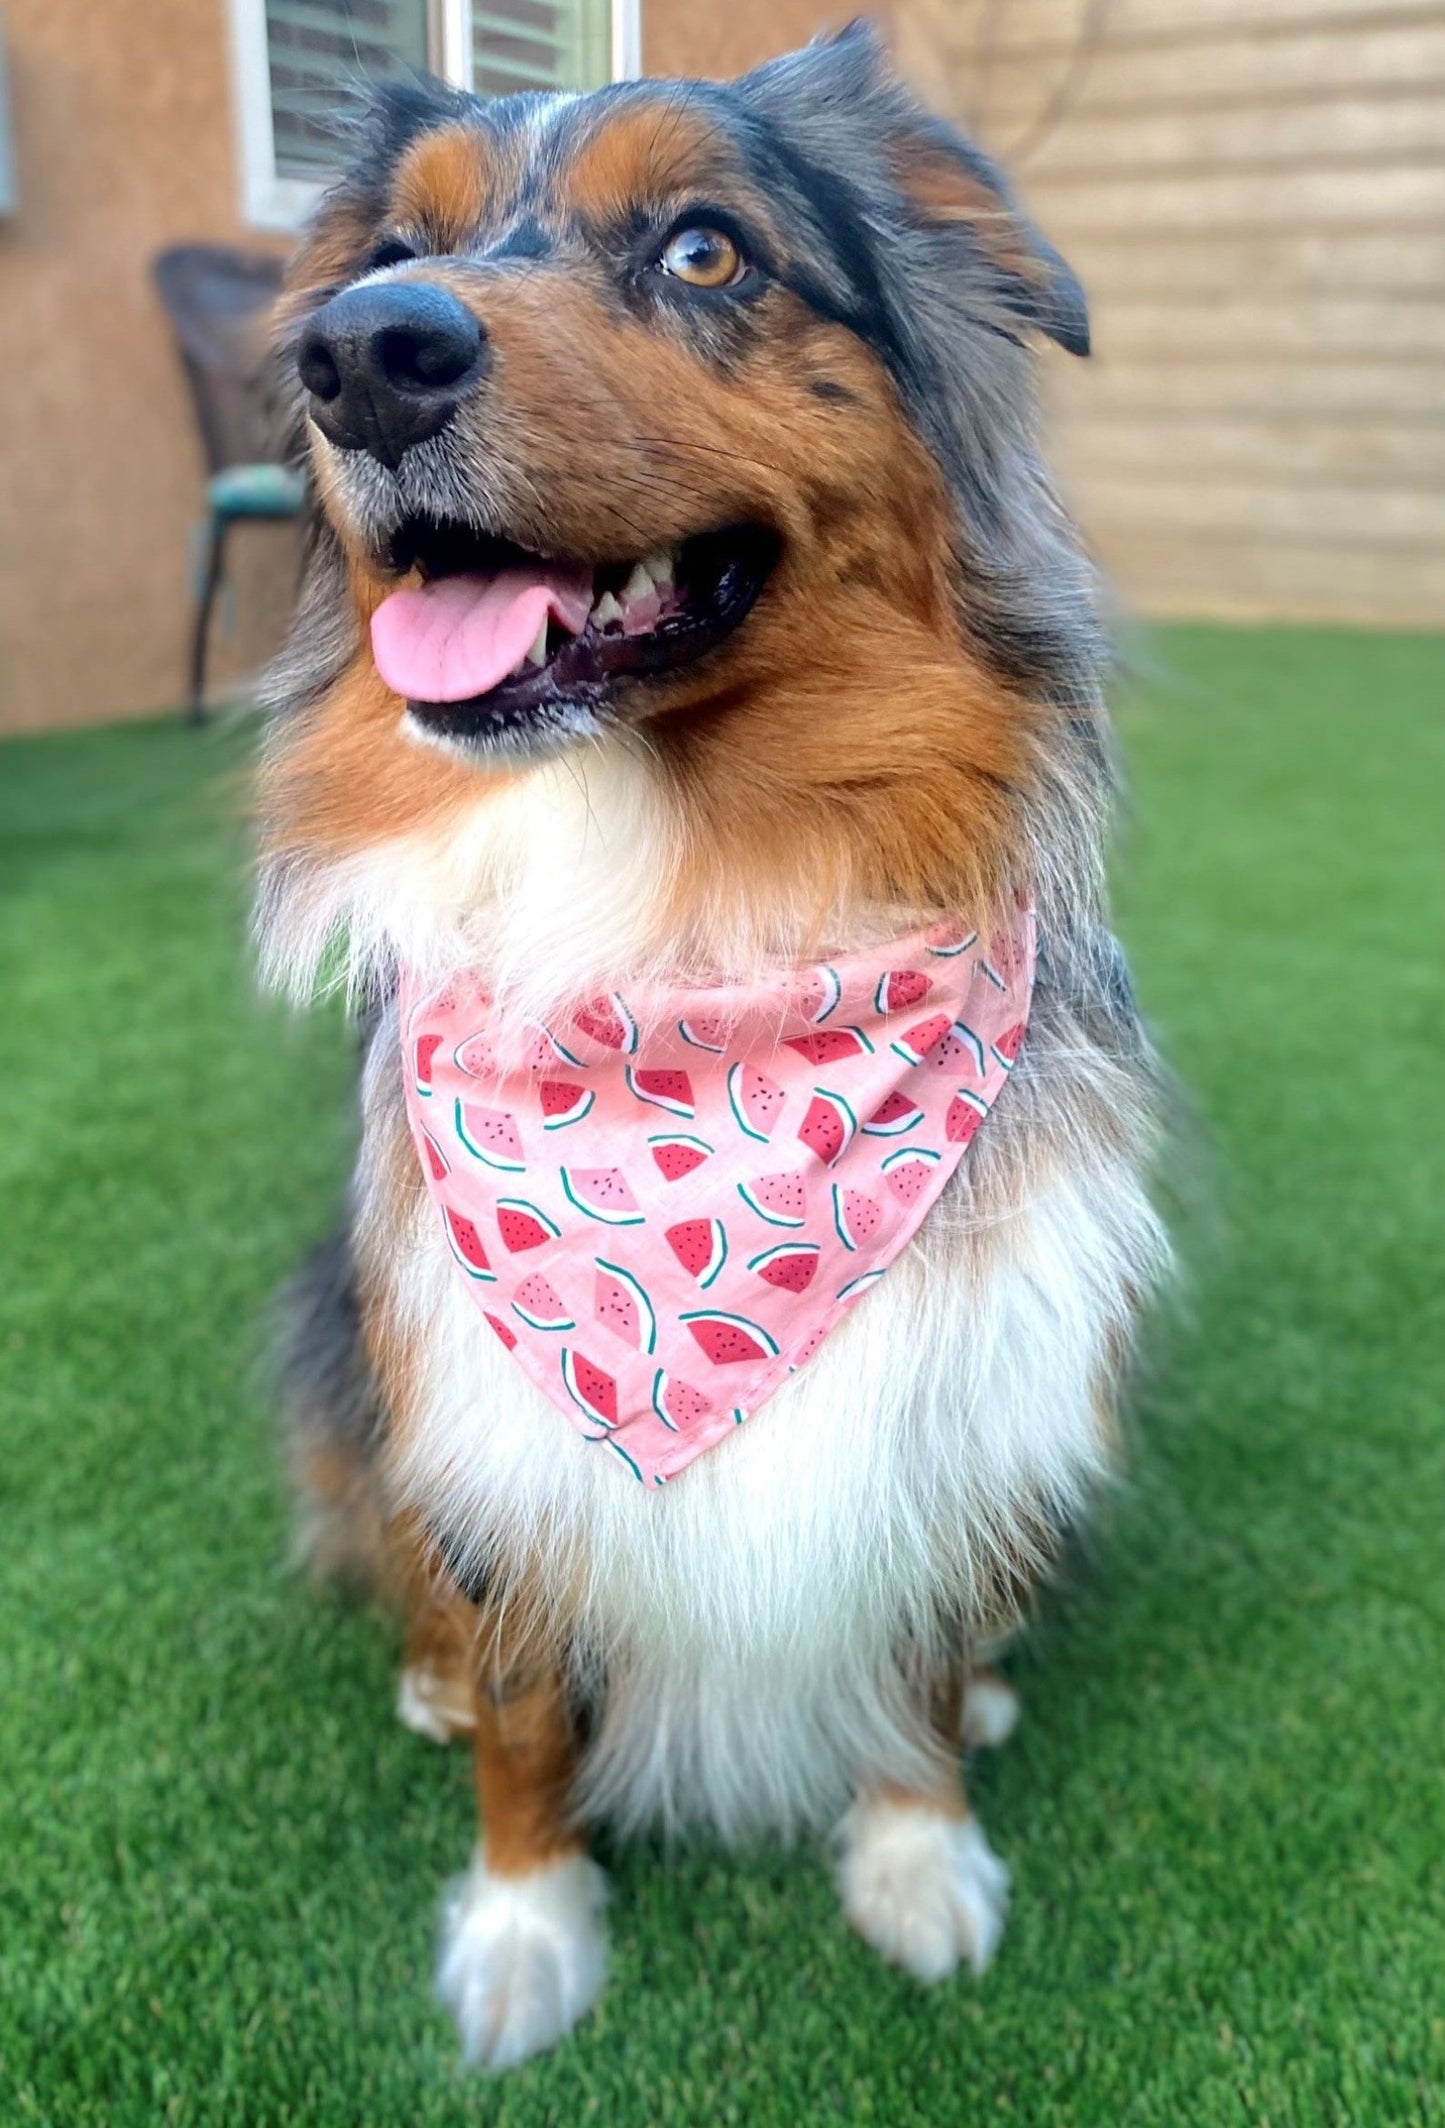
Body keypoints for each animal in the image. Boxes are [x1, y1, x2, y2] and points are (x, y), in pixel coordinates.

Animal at [254, 16, 1166, 2068]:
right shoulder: (486, 1412)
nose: (357, 355)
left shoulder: (959, 1383)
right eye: (383, 261)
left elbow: (918, 1652)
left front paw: (921, 1854)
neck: (677, 919)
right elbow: (526, 1708)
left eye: (702, 250)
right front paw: (528, 1928)